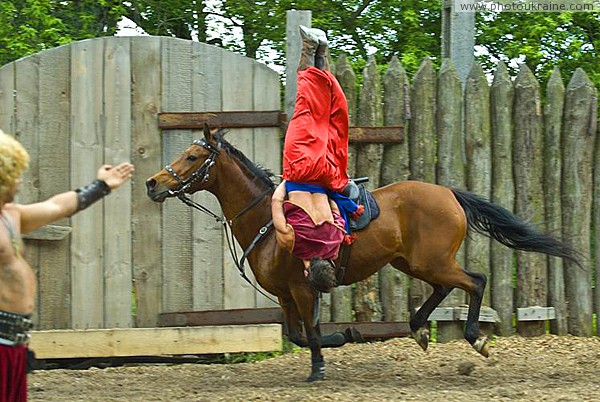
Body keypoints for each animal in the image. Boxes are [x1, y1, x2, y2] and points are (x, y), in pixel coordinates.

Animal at [143, 127, 580, 382]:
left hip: (433, 262)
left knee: (475, 281)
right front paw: (341, 338)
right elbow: (297, 335)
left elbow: (310, 334)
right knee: (444, 290)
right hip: (414, 262)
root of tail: (449, 194)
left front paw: (321, 365)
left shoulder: (302, 290)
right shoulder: (285, 294)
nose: (152, 183)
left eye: (193, 157)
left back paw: (475, 339)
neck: (269, 216)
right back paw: (419, 329)